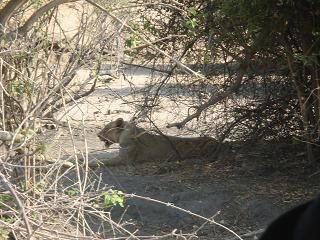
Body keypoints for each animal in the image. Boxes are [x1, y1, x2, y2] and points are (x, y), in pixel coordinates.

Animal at [87, 117, 222, 167]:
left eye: (106, 128)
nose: (97, 135)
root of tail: (218, 142)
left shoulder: (124, 159)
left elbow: (101, 161)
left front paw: (85, 164)